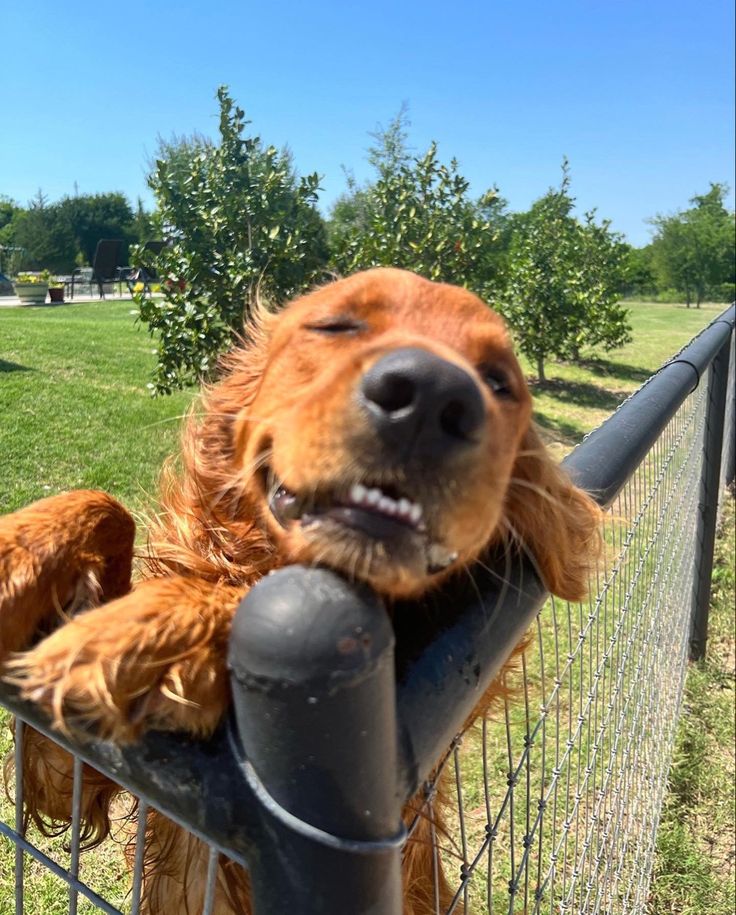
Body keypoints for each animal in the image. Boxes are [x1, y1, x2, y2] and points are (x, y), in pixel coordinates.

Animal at [0, 268, 600, 912]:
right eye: (337, 325)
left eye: (498, 381)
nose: (434, 393)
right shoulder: (76, 773)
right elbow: (105, 507)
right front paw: (17, 555)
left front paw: (164, 632)